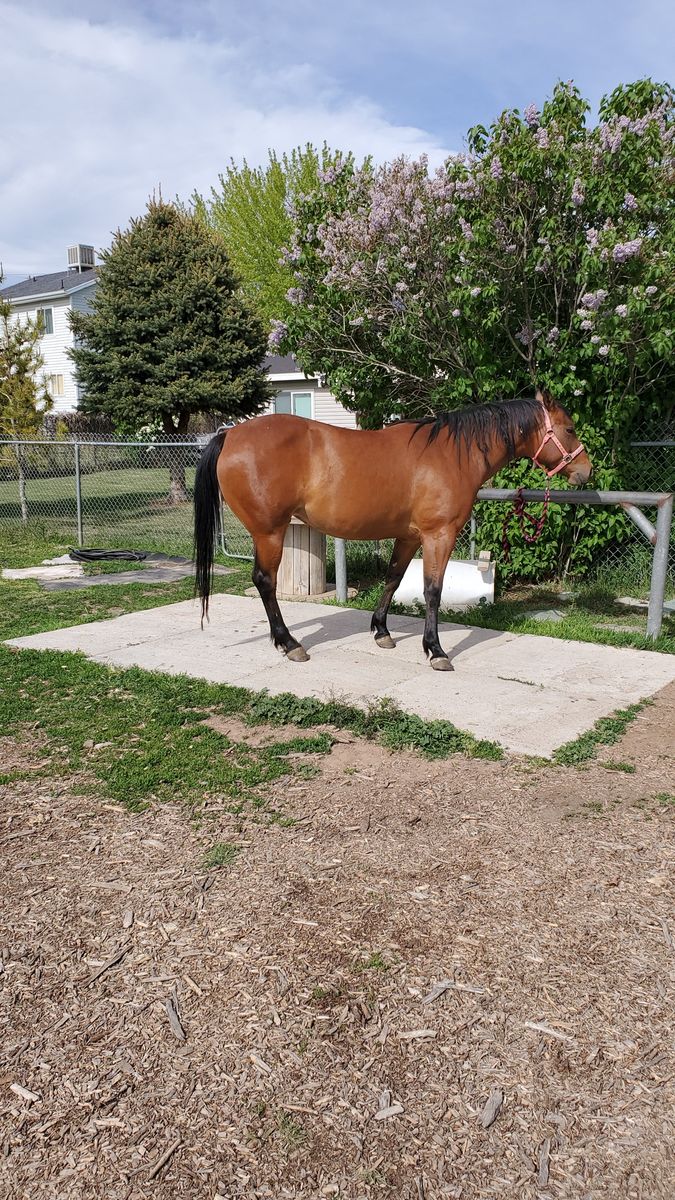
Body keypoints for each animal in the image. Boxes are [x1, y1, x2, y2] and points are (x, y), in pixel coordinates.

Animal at [194, 389, 591, 671]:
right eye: (570, 429)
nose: (586, 471)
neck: (451, 454)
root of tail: (230, 435)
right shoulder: (438, 535)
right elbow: (432, 591)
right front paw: (435, 650)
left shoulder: (410, 536)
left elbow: (393, 579)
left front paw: (382, 631)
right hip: (270, 533)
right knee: (265, 582)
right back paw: (290, 644)